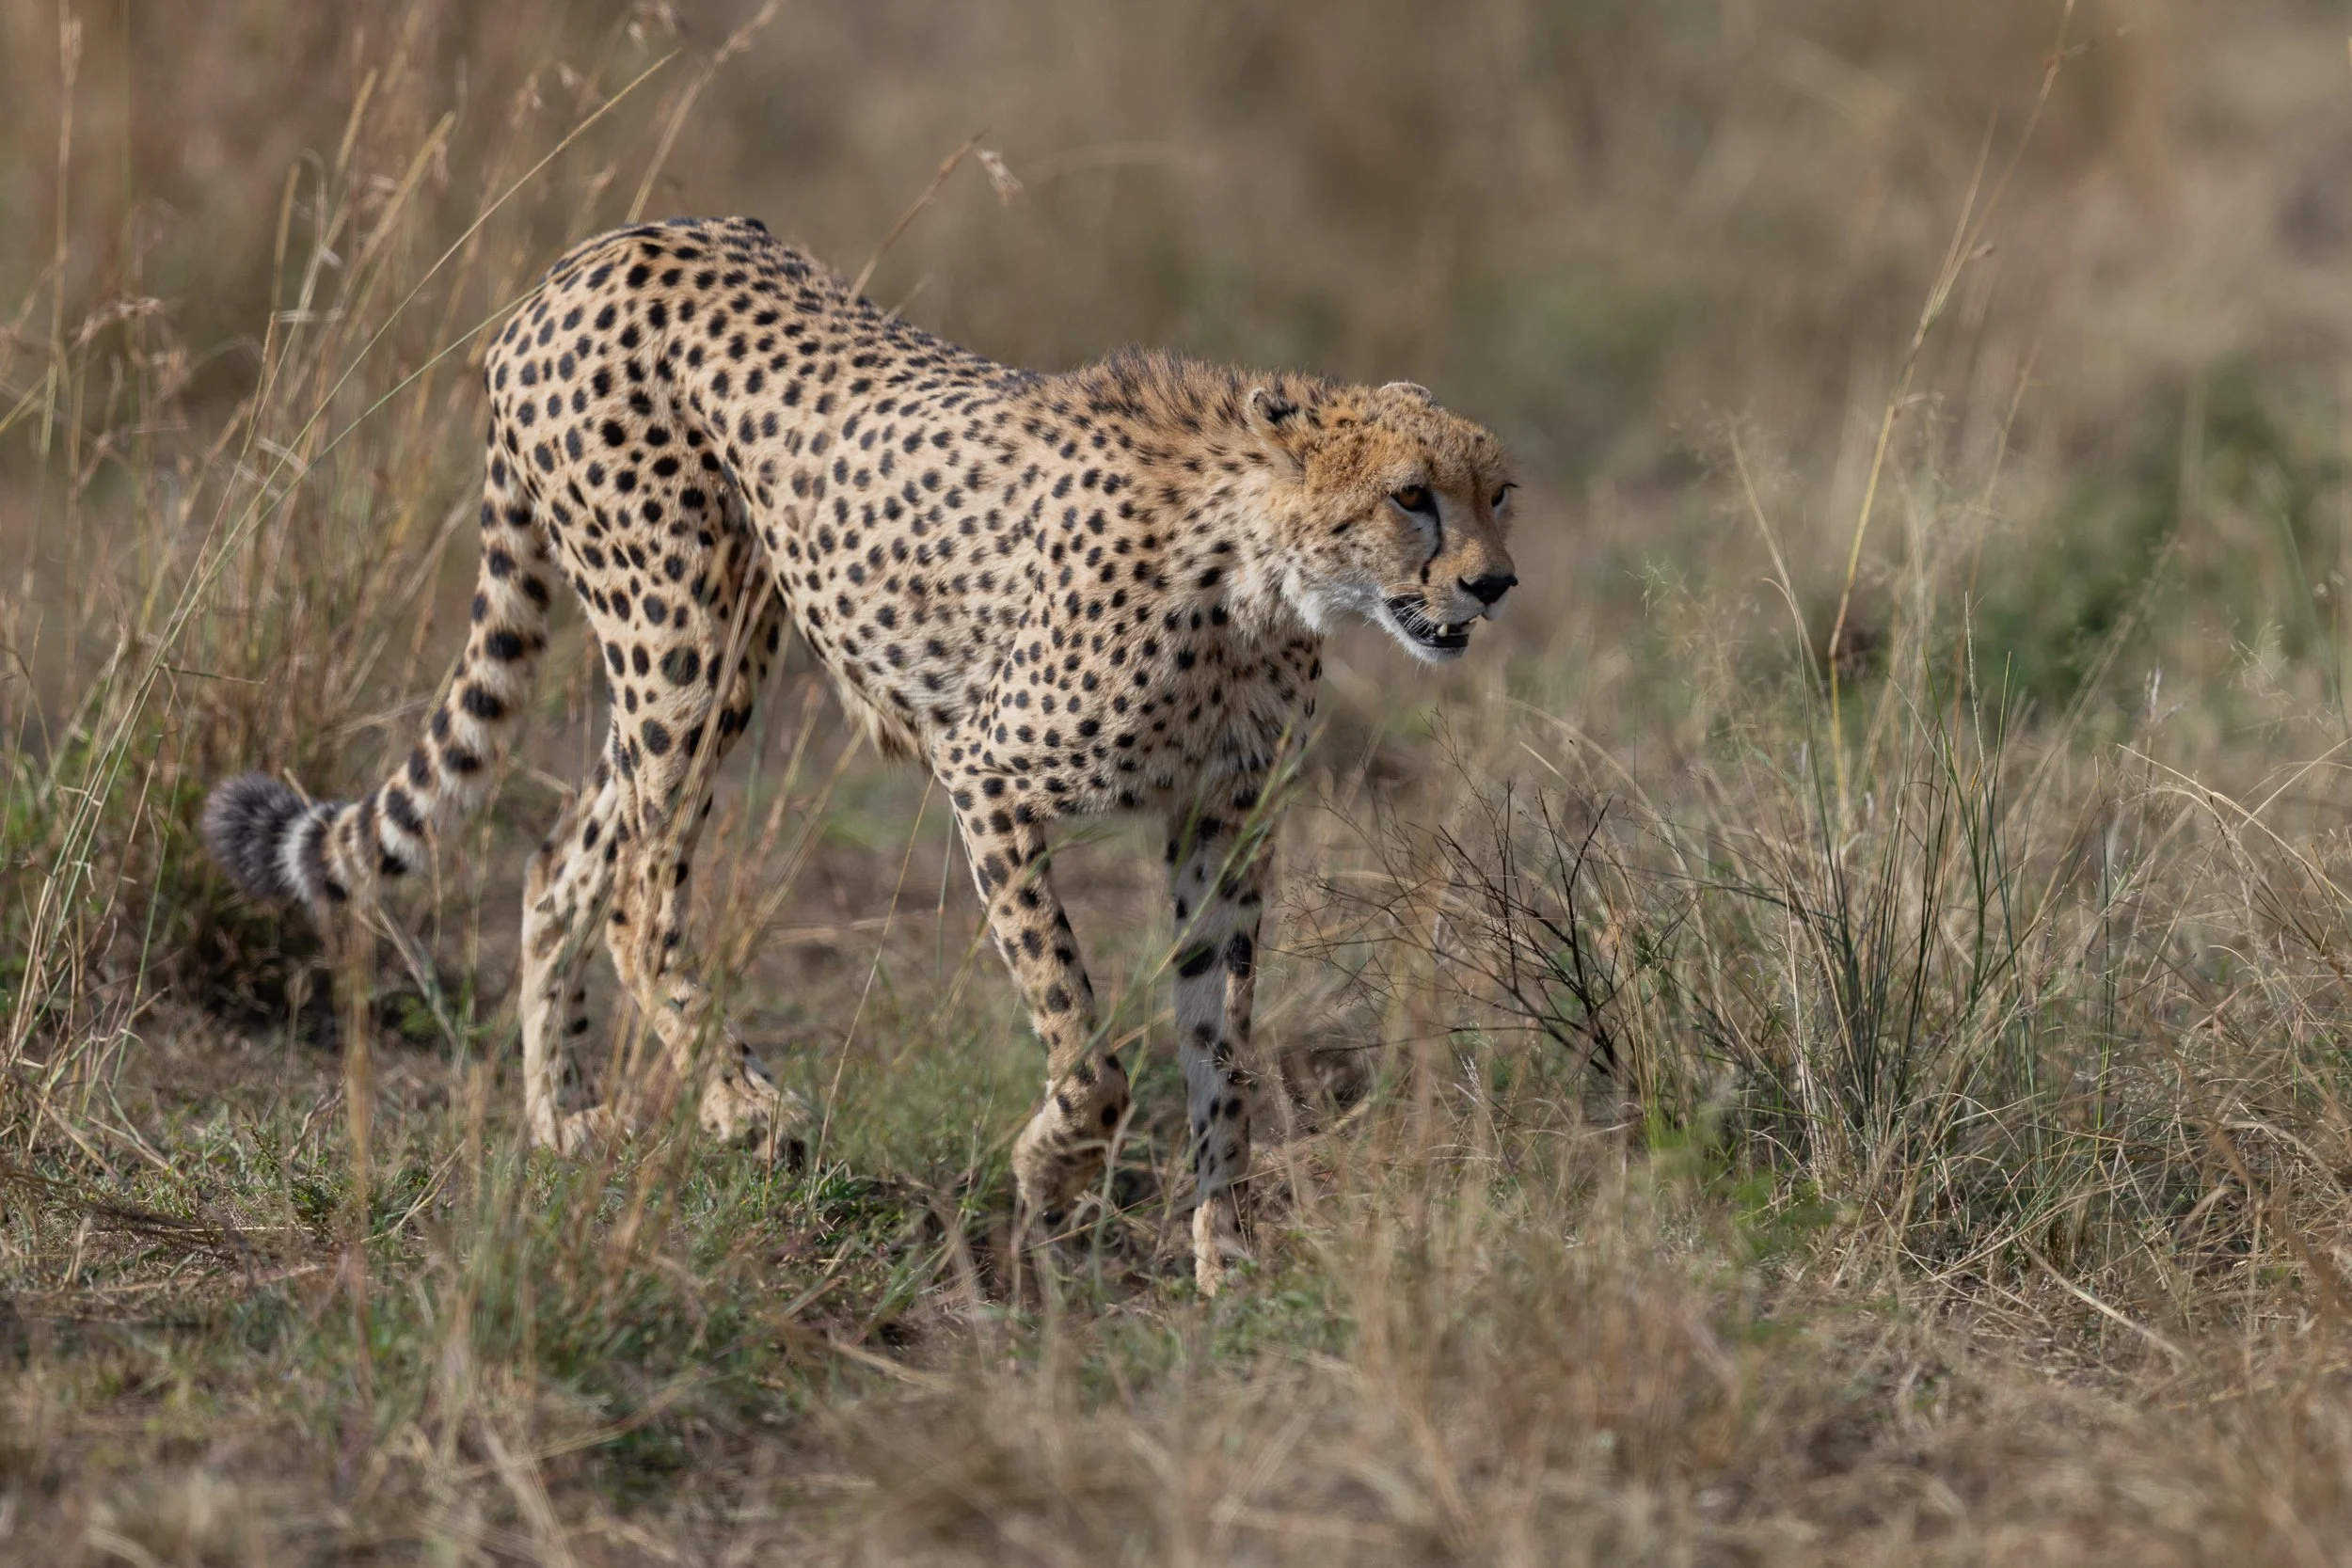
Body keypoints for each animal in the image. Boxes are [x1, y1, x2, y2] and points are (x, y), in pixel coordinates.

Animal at [201, 215, 1519, 1292]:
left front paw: (1225, 1254)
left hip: (684, 652)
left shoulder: (1223, 822)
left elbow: (1221, 1041)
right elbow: (1082, 1035)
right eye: (1411, 496)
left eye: (1499, 492)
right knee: (636, 886)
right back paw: (743, 1108)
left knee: (560, 855)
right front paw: (1050, 1169)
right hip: (692, 633)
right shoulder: (987, 772)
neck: (1254, 575)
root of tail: (596, 253)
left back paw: (562, 1120)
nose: (1494, 584)